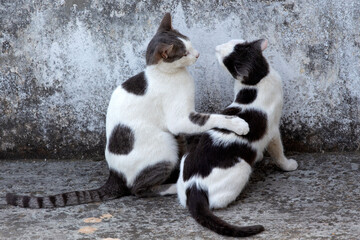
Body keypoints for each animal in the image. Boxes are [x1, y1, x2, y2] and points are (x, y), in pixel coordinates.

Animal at [5, 13, 249, 208]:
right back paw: (172, 186)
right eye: (185, 53)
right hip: (163, 147)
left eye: (190, 44)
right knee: (138, 190)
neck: (166, 74)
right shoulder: (180, 118)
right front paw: (238, 124)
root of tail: (114, 174)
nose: (197, 54)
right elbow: (211, 118)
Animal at [177, 38, 298, 237]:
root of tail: (194, 185)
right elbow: (278, 152)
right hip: (242, 167)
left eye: (233, 43)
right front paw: (287, 165)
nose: (216, 47)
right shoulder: (273, 130)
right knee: (216, 203)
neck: (257, 81)